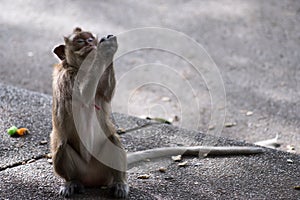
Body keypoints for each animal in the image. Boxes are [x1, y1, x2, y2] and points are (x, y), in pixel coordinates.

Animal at [51, 27, 262, 199]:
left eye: (90, 38)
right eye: (80, 41)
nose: (90, 43)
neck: (80, 68)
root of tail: (92, 180)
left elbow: (105, 94)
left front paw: (108, 49)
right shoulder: (66, 77)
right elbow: (83, 99)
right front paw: (105, 50)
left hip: (105, 166)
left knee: (113, 140)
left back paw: (120, 183)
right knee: (62, 147)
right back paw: (71, 182)